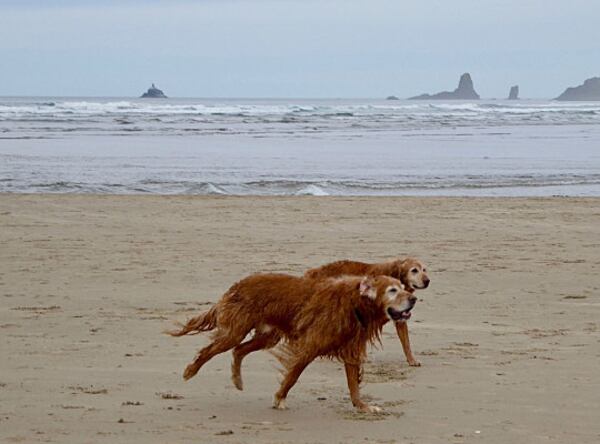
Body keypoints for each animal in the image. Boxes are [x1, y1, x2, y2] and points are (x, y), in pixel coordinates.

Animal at [274, 274, 418, 412]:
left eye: (403, 288)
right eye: (392, 290)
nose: (414, 299)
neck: (356, 304)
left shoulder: (352, 348)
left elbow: (353, 383)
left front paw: (362, 405)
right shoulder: (311, 345)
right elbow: (293, 374)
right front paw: (280, 397)